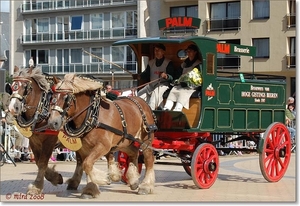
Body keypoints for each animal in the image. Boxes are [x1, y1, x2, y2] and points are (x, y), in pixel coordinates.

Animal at [7, 66, 80, 195]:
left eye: (25, 87)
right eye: (11, 87)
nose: (12, 107)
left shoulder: (49, 141)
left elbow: (42, 162)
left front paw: (37, 186)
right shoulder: (33, 140)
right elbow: (38, 161)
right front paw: (55, 177)